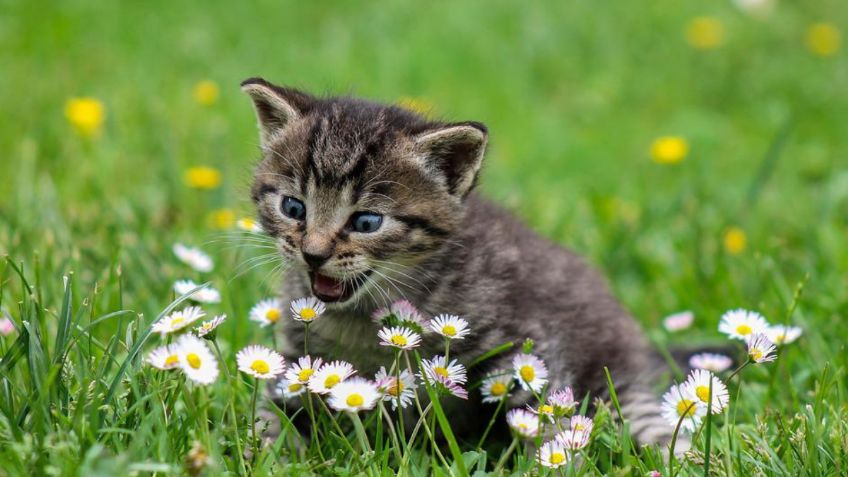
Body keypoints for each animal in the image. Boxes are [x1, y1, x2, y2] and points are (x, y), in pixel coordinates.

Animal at [243, 78, 676, 446]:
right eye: (293, 207)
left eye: (366, 222)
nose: (313, 254)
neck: (362, 317)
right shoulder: (297, 359)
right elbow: (271, 411)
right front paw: (266, 446)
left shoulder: (527, 346)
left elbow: (543, 413)